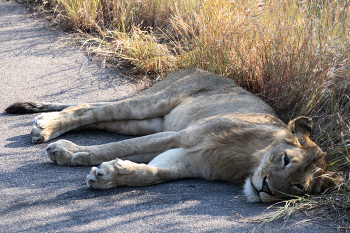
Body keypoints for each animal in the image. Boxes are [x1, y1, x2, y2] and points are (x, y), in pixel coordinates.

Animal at [4, 68, 340, 202]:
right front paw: (72, 154)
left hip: (147, 120)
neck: (248, 160)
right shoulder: (181, 138)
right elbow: (117, 148)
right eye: (285, 160)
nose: (266, 189)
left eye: (298, 188)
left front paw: (110, 175)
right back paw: (46, 129)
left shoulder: (188, 160)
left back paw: (46, 123)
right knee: (90, 108)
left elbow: (151, 174)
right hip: (154, 102)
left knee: (97, 115)